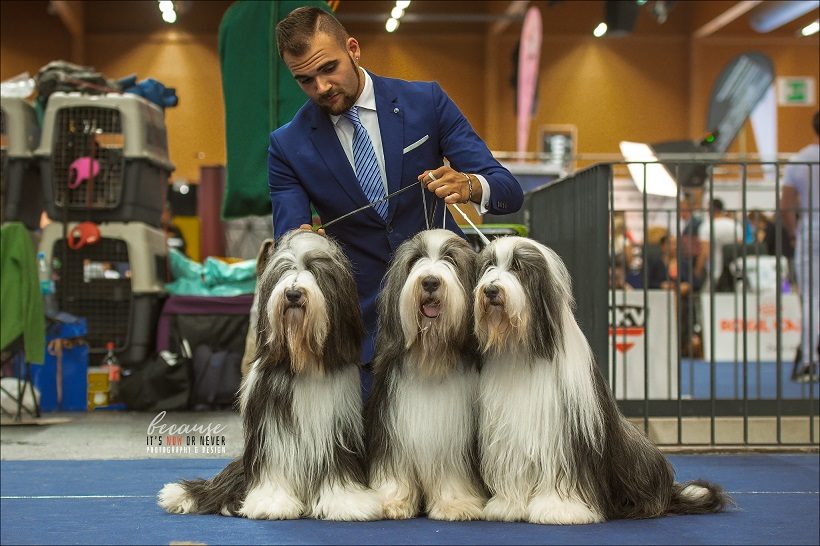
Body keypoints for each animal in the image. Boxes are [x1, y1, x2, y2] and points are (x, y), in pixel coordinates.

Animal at [159, 228, 382, 520]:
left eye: (315, 270)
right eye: (284, 270)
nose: (293, 293)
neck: (303, 361)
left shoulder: (337, 427)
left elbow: (338, 468)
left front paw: (347, 503)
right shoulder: (272, 431)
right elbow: (274, 470)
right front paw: (273, 503)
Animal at [366, 228, 486, 520]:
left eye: (451, 259)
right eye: (415, 260)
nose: (430, 281)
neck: (430, 358)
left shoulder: (454, 437)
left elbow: (452, 473)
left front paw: (456, 504)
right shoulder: (393, 431)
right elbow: (394, 470)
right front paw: (391, 501)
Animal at [474, 237, 732, 524]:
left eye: (517, 267)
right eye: (489, 266)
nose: (491, 290)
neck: (523, 350)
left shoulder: (564, 436)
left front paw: (560, 509)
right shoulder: (509, 432)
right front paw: (507, 506)